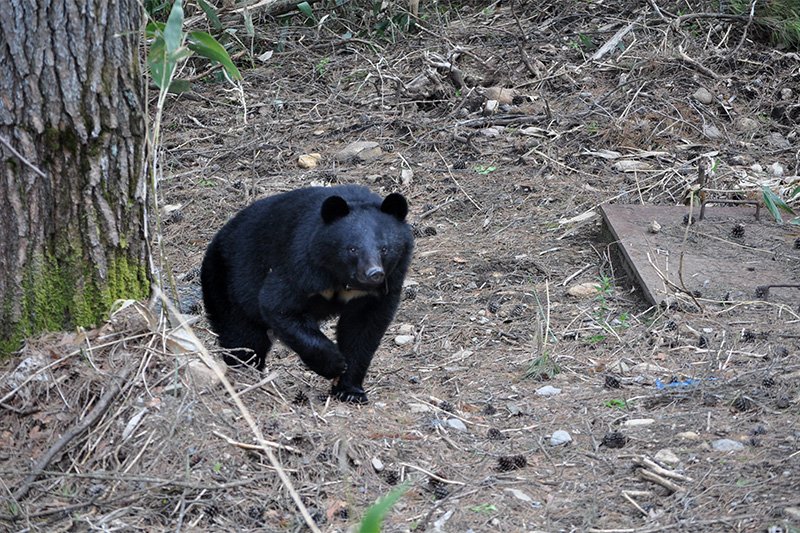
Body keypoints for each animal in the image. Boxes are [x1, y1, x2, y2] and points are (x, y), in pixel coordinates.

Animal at [200, 184, 413, 403]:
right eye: (352, 249)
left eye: (385, 248)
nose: (374, 274)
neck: (342, 277)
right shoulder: (301, 263)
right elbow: (278, 305)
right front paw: (335, 363)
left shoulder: (381, 288)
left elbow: (363, 330)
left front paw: (350, 390)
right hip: (227, 284)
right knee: (242, 338)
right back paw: (246, 374)